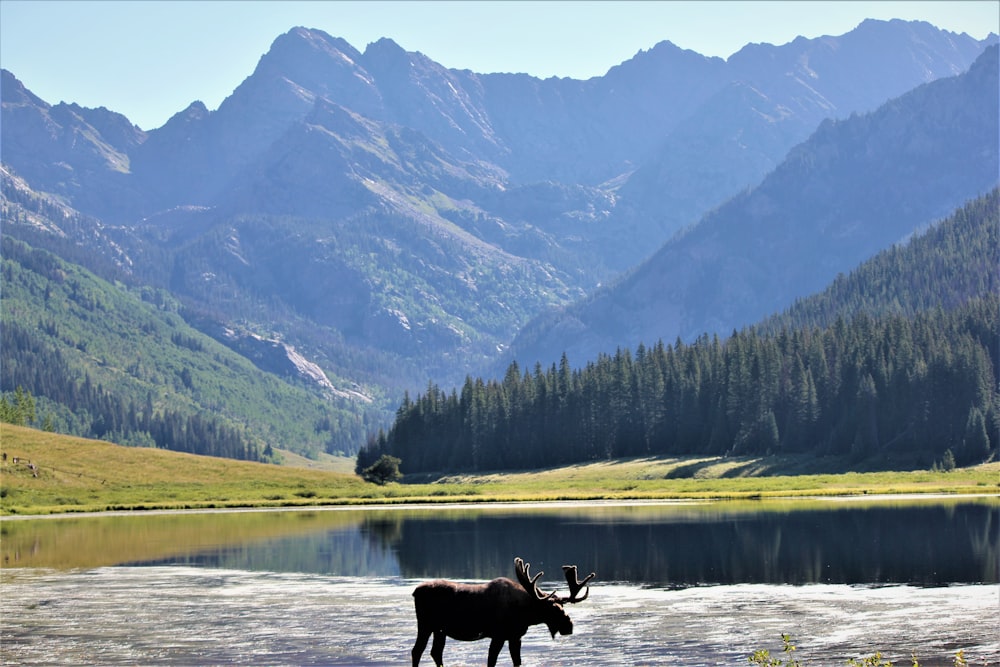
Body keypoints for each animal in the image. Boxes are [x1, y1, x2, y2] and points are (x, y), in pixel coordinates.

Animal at [412, 560, 592, 667]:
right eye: (552, 608)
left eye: (562, 605)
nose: (568, 626)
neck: (526, 613)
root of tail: (415, 592)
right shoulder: (498, 635)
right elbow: (491, 661)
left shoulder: (515, 637)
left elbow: (517, 662)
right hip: (425, 625)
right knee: (417, 650)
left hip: (439, 629)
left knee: (435, 652)